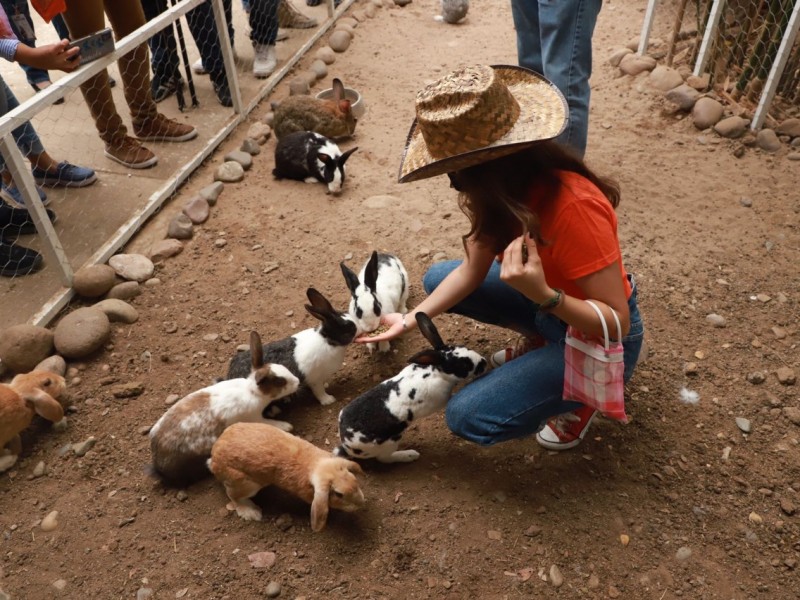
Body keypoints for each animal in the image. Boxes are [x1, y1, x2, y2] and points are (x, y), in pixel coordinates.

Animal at [149, 332, 300, 488]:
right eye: (280, 381)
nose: (298, 382)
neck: (252, 392)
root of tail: (158, 464)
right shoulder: (255, 418)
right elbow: (270, 423)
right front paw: (286, 426)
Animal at [208, 420, 368, 532]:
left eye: (354, 479)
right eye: (338, 494)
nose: (361, 503)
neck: (315, 466)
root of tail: (214, 456)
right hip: (246, 484)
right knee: (233, 496)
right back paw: (251, 512)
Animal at [230, 288, 358, 408]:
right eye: (348, 327)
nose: (360, 327)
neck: (328, 341)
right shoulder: (314, 379)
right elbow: (319, 391)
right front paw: (328, 400)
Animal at [332, 314, 488, 464]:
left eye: (465, 347)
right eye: (463, 365)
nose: (484, 363)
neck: (435, 371)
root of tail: (347, 446)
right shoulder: (441, 399)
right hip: (390, 442)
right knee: (385, 459)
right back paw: (410, 455)